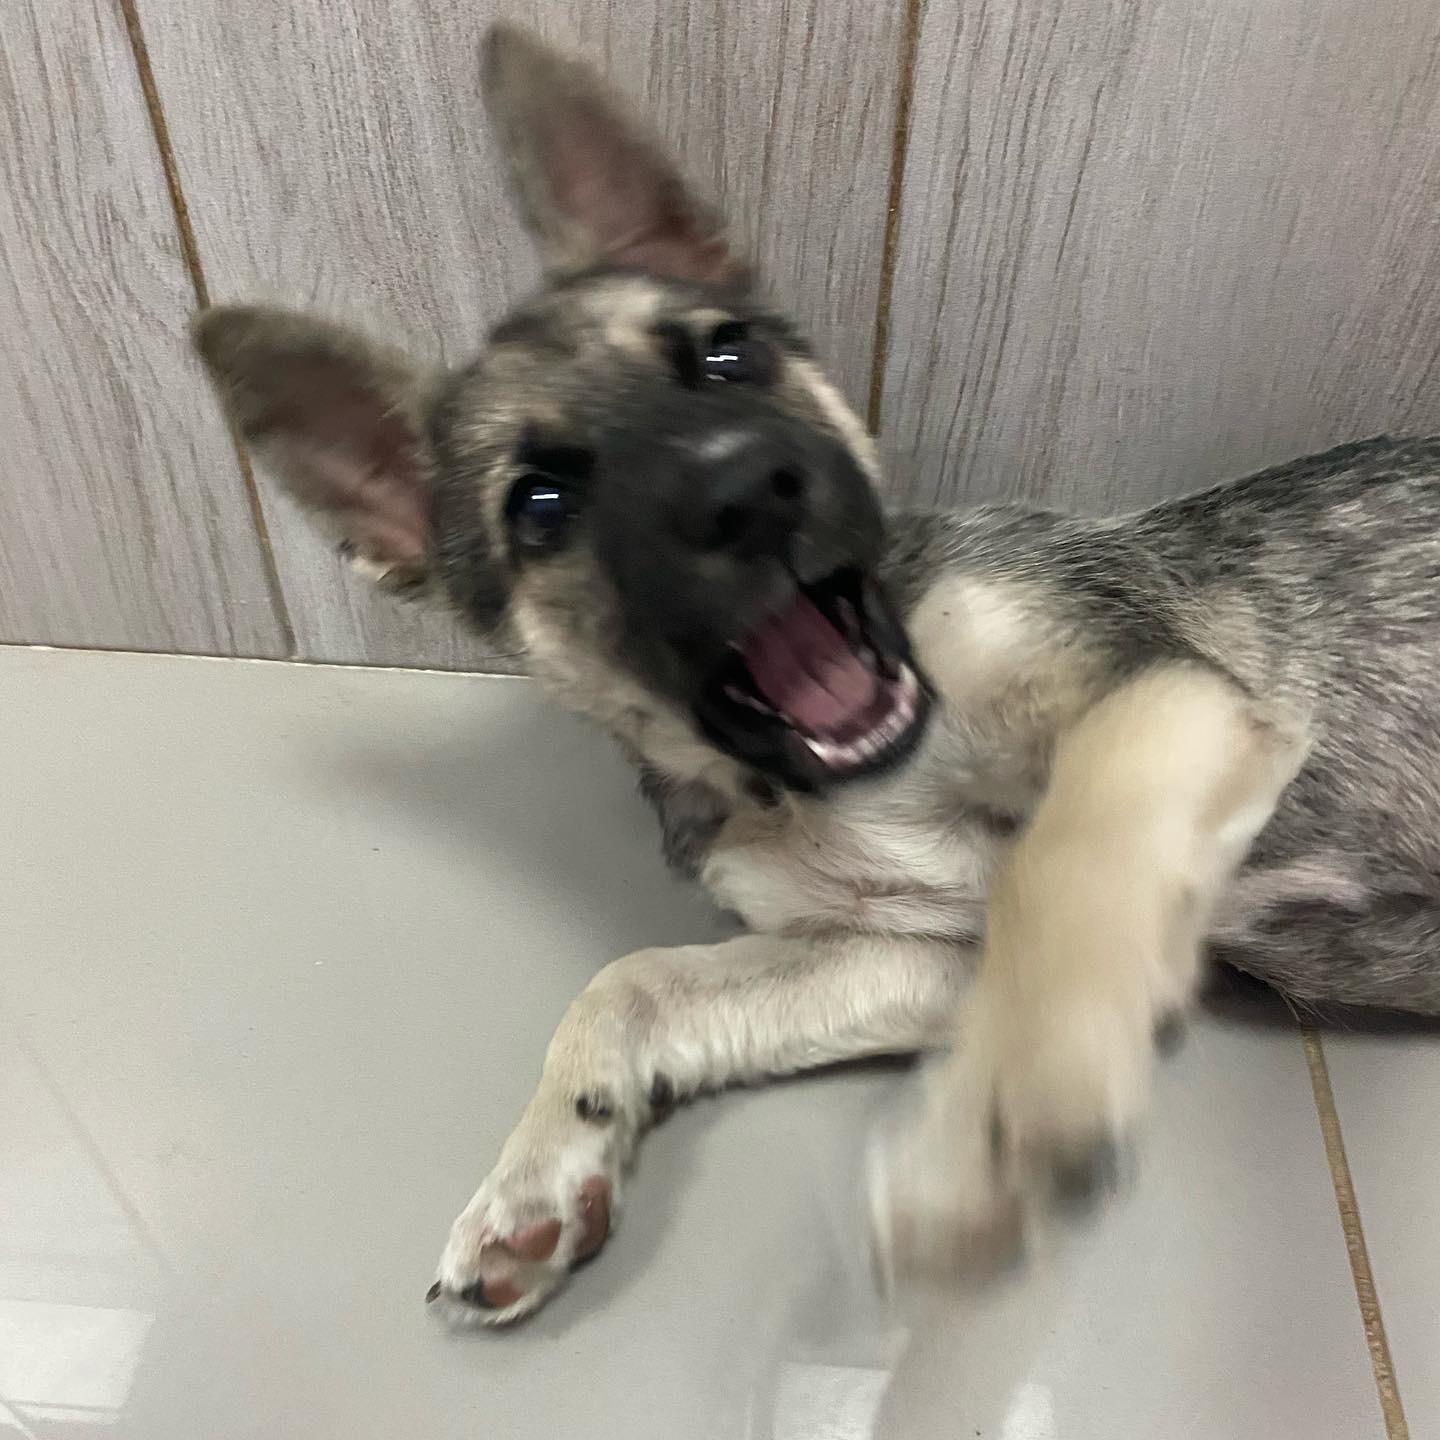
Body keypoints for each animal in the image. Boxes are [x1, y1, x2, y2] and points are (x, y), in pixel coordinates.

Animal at [194, 25, 1440, 1324]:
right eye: (538, 505)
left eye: (726, 355)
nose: (746, 491)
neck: (831, 777)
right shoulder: (912, 957)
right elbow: (638, 978)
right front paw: (542, 1171)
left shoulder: (1161, 697)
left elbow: (1064, 875)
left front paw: (992, 1144)